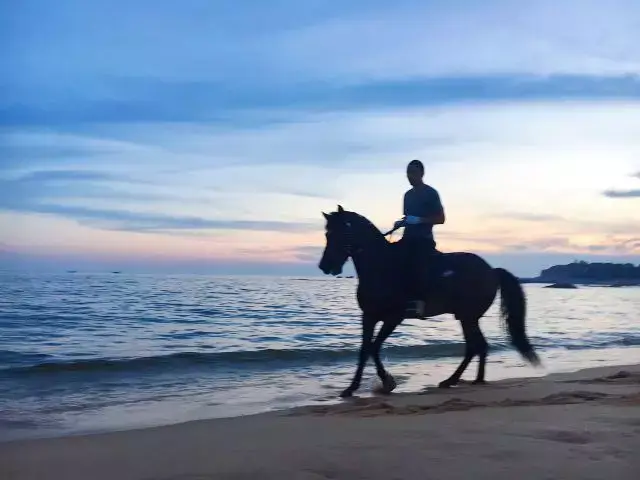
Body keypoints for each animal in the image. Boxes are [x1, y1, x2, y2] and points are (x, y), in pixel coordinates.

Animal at [318, 205, 541, 398]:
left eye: (337, 234)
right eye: (327, 234)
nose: (324, 266)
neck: (381, 267)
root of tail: (492, 271)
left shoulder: (393, 318)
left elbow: (373, 348)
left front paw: (388, 382)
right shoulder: (369, 316)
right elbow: (365, 350)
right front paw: (351, 388)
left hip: (468, 317)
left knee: (475, 346)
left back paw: (455, 380)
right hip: (467, 317)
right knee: (478, 346)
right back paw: (471, 379)